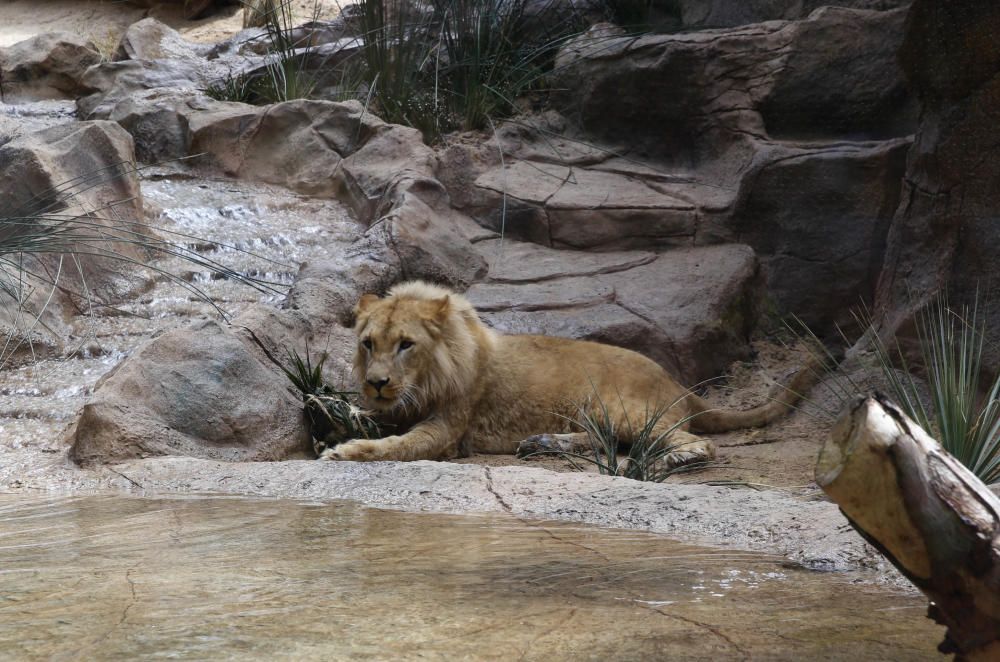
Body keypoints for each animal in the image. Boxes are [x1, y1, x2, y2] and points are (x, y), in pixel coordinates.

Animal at [322, 282, 820, 464]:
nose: (377, 383)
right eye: (368, 344)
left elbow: (399, 446)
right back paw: (543, 442)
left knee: (687, 441)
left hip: (618, 407)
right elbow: (373, 419)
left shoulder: (448, 429)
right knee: (605, 441)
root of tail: (679, 384)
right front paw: (334, 413)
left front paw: (347, 451)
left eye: (406, 345)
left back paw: (675, 458)